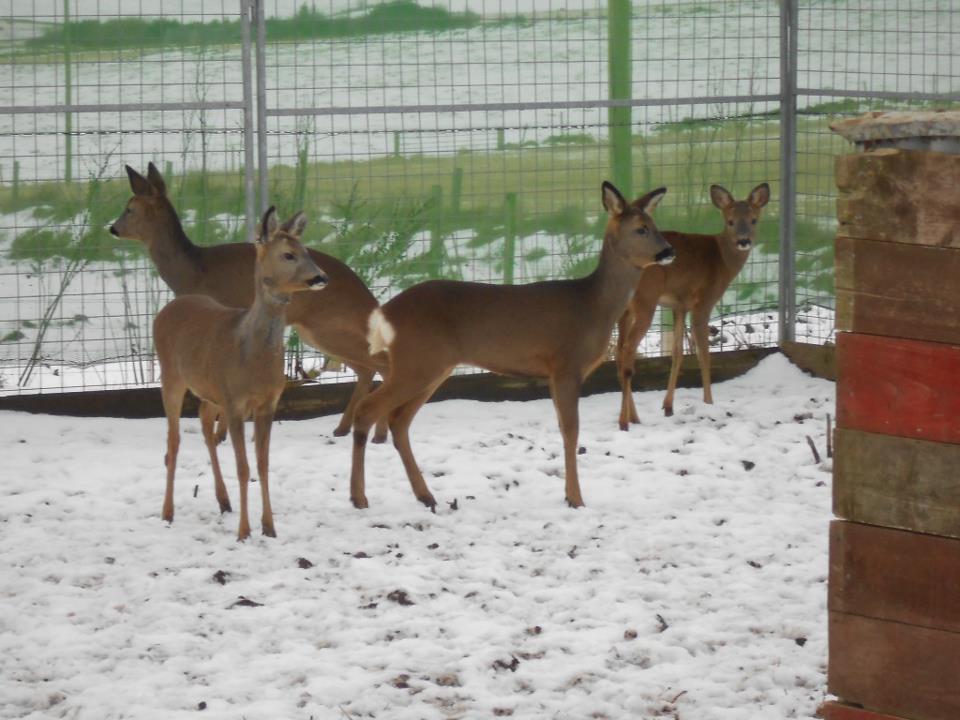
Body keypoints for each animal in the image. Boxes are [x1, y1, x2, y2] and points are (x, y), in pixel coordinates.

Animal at [114, 164, 392, 444]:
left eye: (130, 208)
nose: (113, 229)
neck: (192, 271)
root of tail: (366, 296)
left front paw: (221, 434)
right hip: (316, 331)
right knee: (367, 369)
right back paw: (344, 428)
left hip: (328, 325)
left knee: (381, 364)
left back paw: (377, 433)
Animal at [154, 205, 326, 536]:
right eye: (288, 254)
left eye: (307, 251)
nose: (321, 277)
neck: (254, 359)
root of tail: (167, 309)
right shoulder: (234, 402)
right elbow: (243, 467)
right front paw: (244, 532)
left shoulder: (268, 403)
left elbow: (262, 464)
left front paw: (269, 527)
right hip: (170, 376)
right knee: (173, 442)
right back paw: (167, 513)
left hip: (209, 390)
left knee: (204, 425)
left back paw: (224, 501)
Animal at [346, 180, 676, 510]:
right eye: (641, 229)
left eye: (655, 225)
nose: (668, 250)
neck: (593, 306)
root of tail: (385, 313)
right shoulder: (566, 365)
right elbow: (572, 431)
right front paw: (576, 498)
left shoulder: (554, 373)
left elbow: (563, 428)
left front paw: (569, 494)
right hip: (417, 362)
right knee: (368, 410)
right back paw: (359, 497)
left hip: (432, 366)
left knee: (398, 420)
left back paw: (425, 495)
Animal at [616, 181, 772, 428]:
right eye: (730, 221)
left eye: (754, 220)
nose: (743, 241)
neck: (722, 260)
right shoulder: (703, 302)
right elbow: (703, 354)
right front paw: (709, 402)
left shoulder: (679, 305)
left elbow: (678, 353)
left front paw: (668, 406)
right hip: (645, 301)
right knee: (627, 350)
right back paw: (627, 420)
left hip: (626, 308)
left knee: (619, 350)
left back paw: (633, 417)